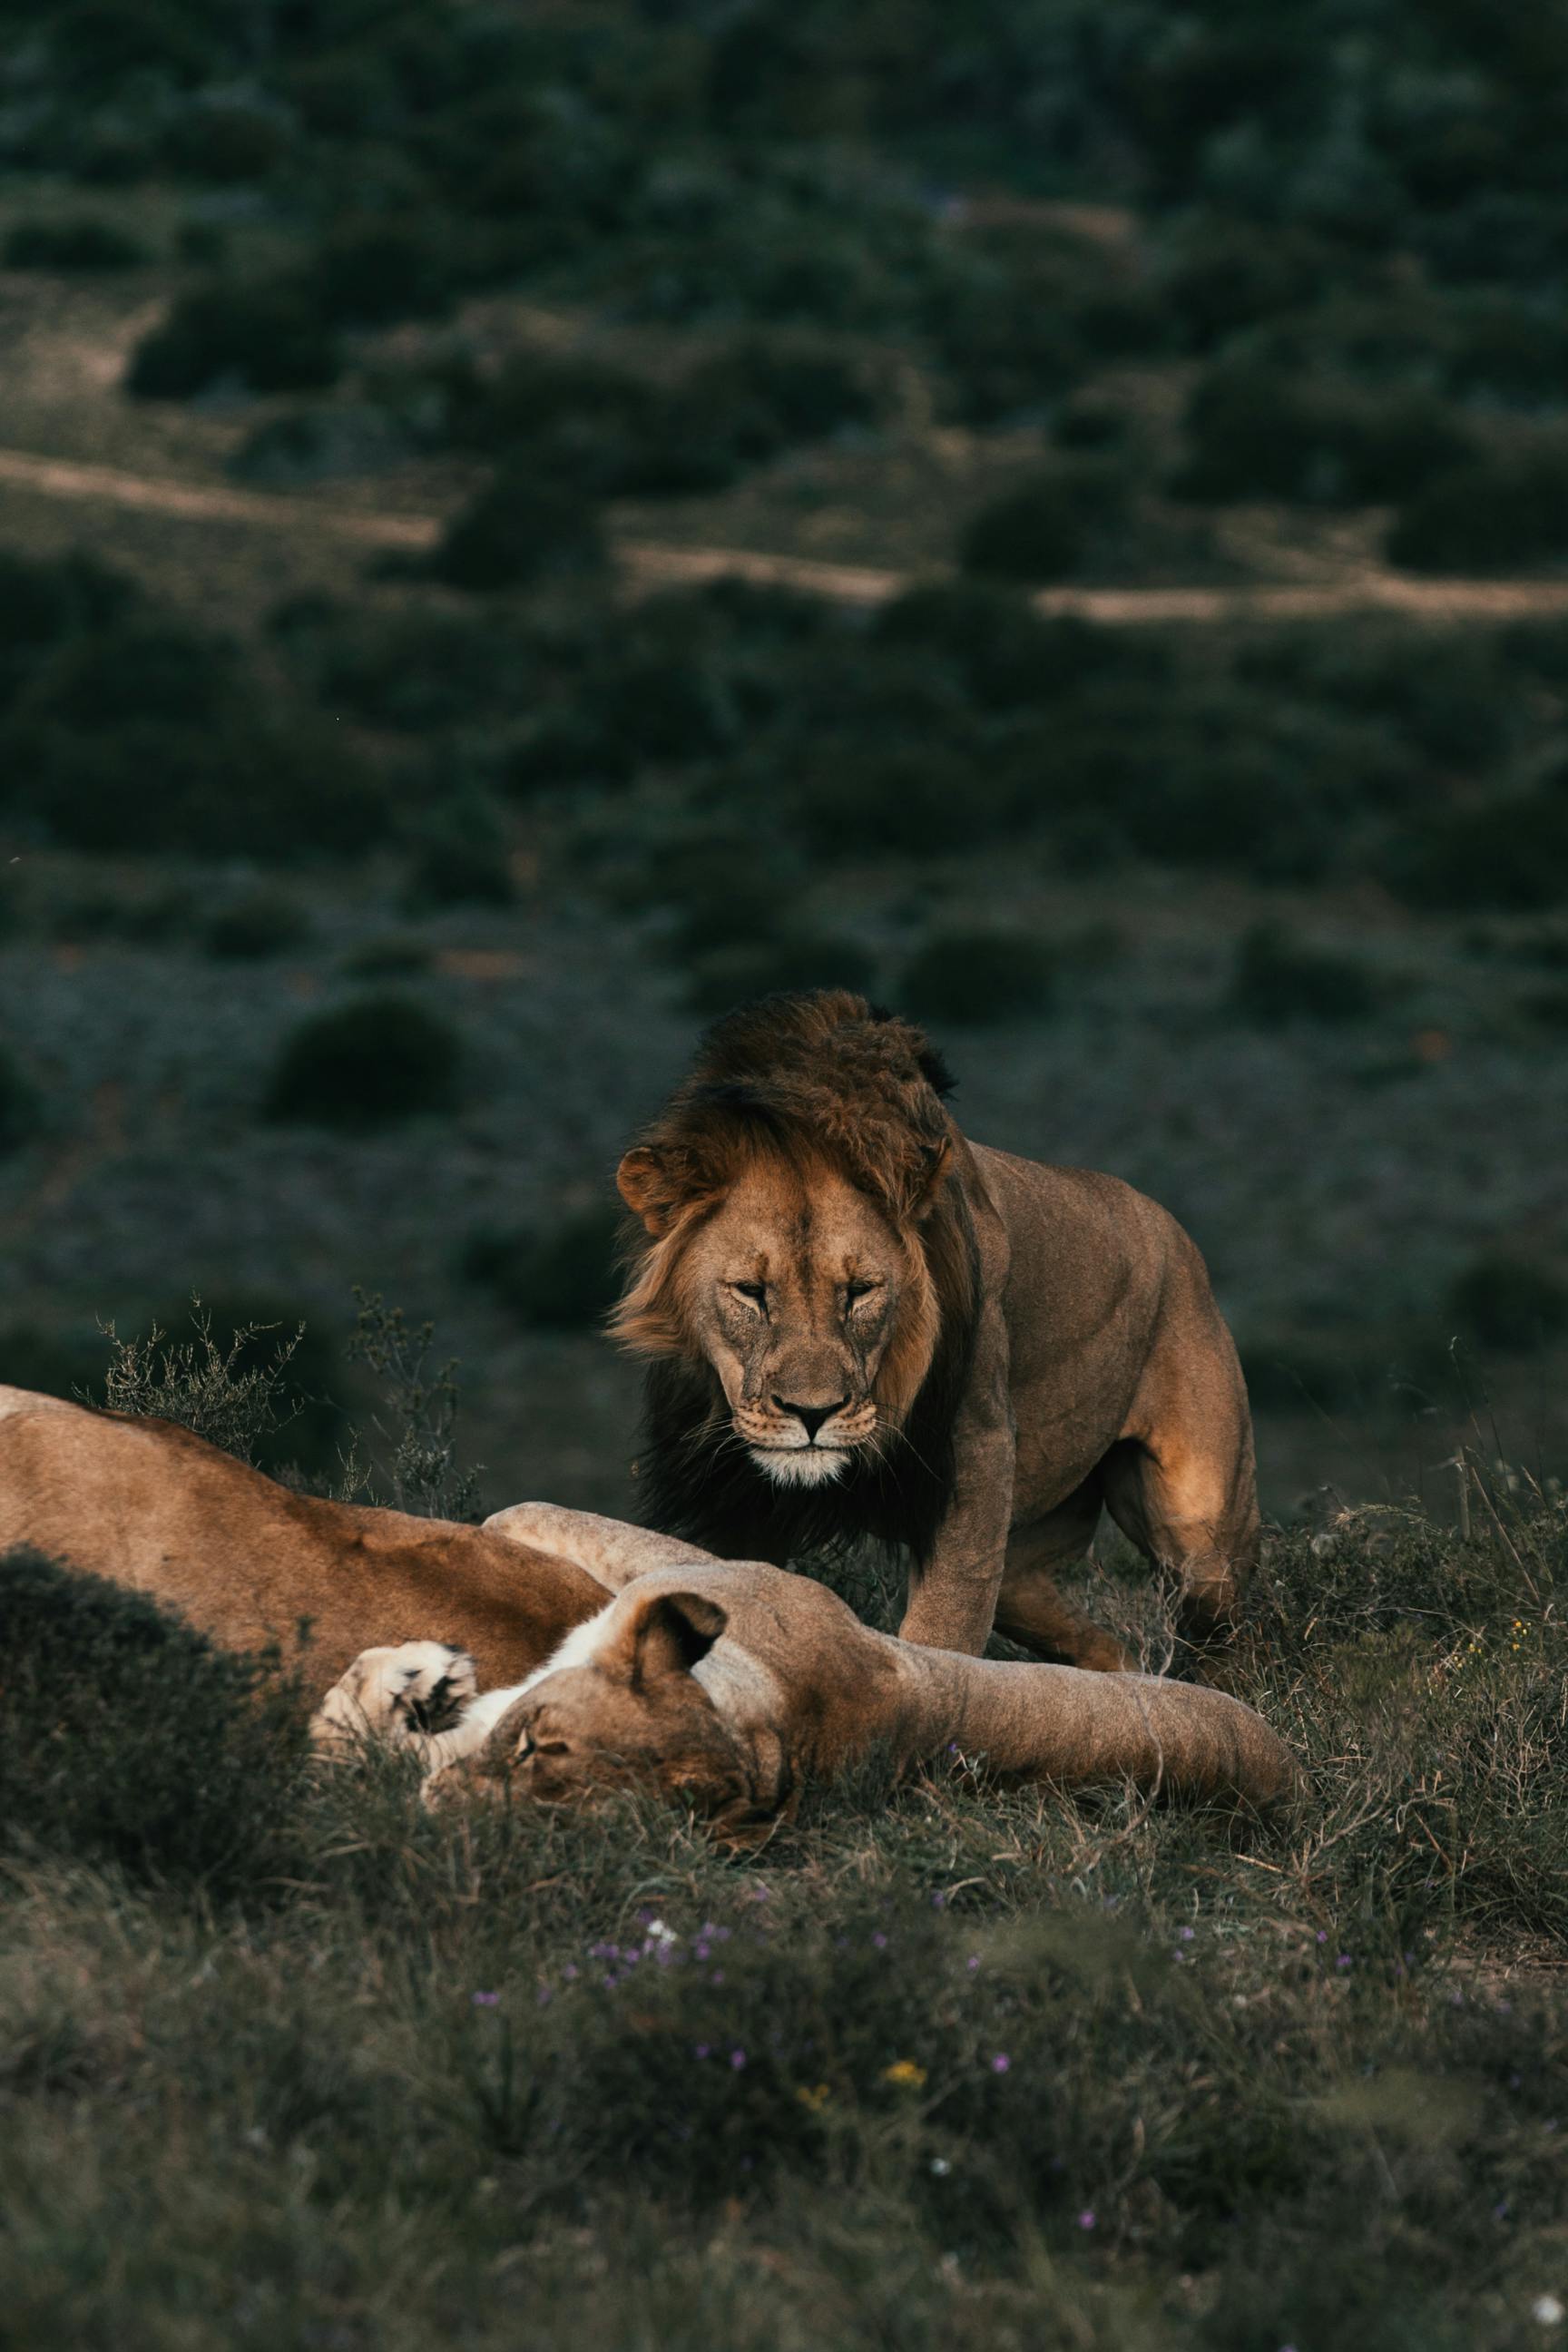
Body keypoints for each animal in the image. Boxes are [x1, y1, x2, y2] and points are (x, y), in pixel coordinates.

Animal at [328, 1506, 1300, 1835]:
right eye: (531, 1743)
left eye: (553, 1826)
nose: (439, 1816)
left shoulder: (669, 1566)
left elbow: (509, 1516)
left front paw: (396, 1690)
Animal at [612, 990, 1259, 1669]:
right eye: (751, 1292)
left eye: (861, 1291)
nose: (812, 1414)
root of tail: (1174, 1232)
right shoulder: (732, 1499)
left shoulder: (975, 1454)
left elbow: (942, 1635)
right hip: (1027, 1569)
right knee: (1089, 1637)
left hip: (1204, 1534)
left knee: (1227, 1626)